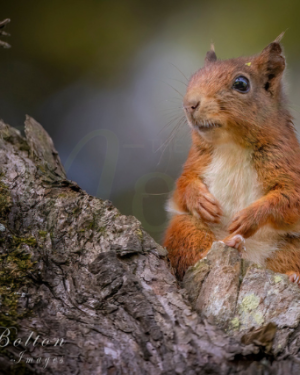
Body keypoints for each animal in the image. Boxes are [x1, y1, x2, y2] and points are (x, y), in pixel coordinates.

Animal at [163, 36, 300, 288]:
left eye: (241, 84)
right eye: (194, 76)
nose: (190, 104)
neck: (231, 144)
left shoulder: (288, 163)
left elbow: (290, 198)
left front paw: (250, 216)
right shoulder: (196, 161)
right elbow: (182, 187)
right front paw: (199, 200)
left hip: (293, 247)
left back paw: (293, 275)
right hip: (187, 229)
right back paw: (229, 243)